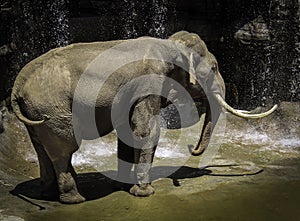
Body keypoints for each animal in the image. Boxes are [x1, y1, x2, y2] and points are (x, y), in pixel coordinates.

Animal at [9, 31, 276, 204]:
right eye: (214, 69)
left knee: (42, 148)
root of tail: (17, 85)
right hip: (51, 109)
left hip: (35, 112)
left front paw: (122, 187)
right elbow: (145, 131)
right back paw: (74, 199)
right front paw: (145, 193)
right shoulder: (149, 82)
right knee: (64, 148)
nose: (192, 148)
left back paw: (48, 195)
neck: (170, 44)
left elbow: (128, 132)